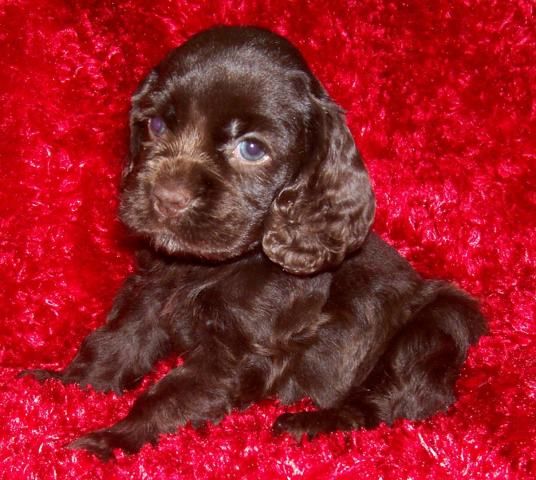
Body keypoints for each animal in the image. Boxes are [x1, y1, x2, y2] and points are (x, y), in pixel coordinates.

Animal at [23, 27, 486, 462]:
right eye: (155, 125)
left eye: (251, 148)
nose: (167, 198)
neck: (208, 266)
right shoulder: (149, 293)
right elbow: (115, 342)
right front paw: (63, 385)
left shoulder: (241, 351)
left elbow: (172, 394)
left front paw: (110, 441)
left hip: (439, 322)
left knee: (382, 407)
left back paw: (307, 423)